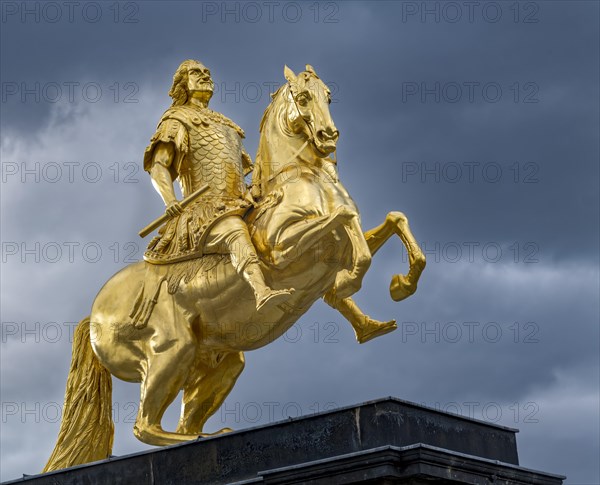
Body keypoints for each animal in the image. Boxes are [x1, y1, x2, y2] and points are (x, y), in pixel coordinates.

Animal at [44, 62, 424, 470]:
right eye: (302, 97)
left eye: (329, 95)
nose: (328, 136)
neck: (296, 180)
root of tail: (94, 315)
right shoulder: (282, 250)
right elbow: (345, 220)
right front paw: (349, 282)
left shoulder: (337, 245)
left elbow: (391, 219)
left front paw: (400, 286)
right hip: (169, 352)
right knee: (144, 426)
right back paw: (194, 441)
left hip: (216, 364)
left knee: (179, 418)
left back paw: (209, 436)